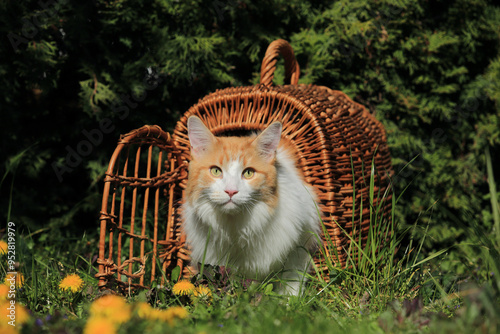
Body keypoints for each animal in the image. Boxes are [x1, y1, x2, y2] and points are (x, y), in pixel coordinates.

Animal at [182, 117, 318, 294]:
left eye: (248, 173)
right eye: (216, 171)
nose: (231, 191)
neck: (235, 226)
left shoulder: (298, 247)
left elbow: (291, 282)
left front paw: (288, 300)